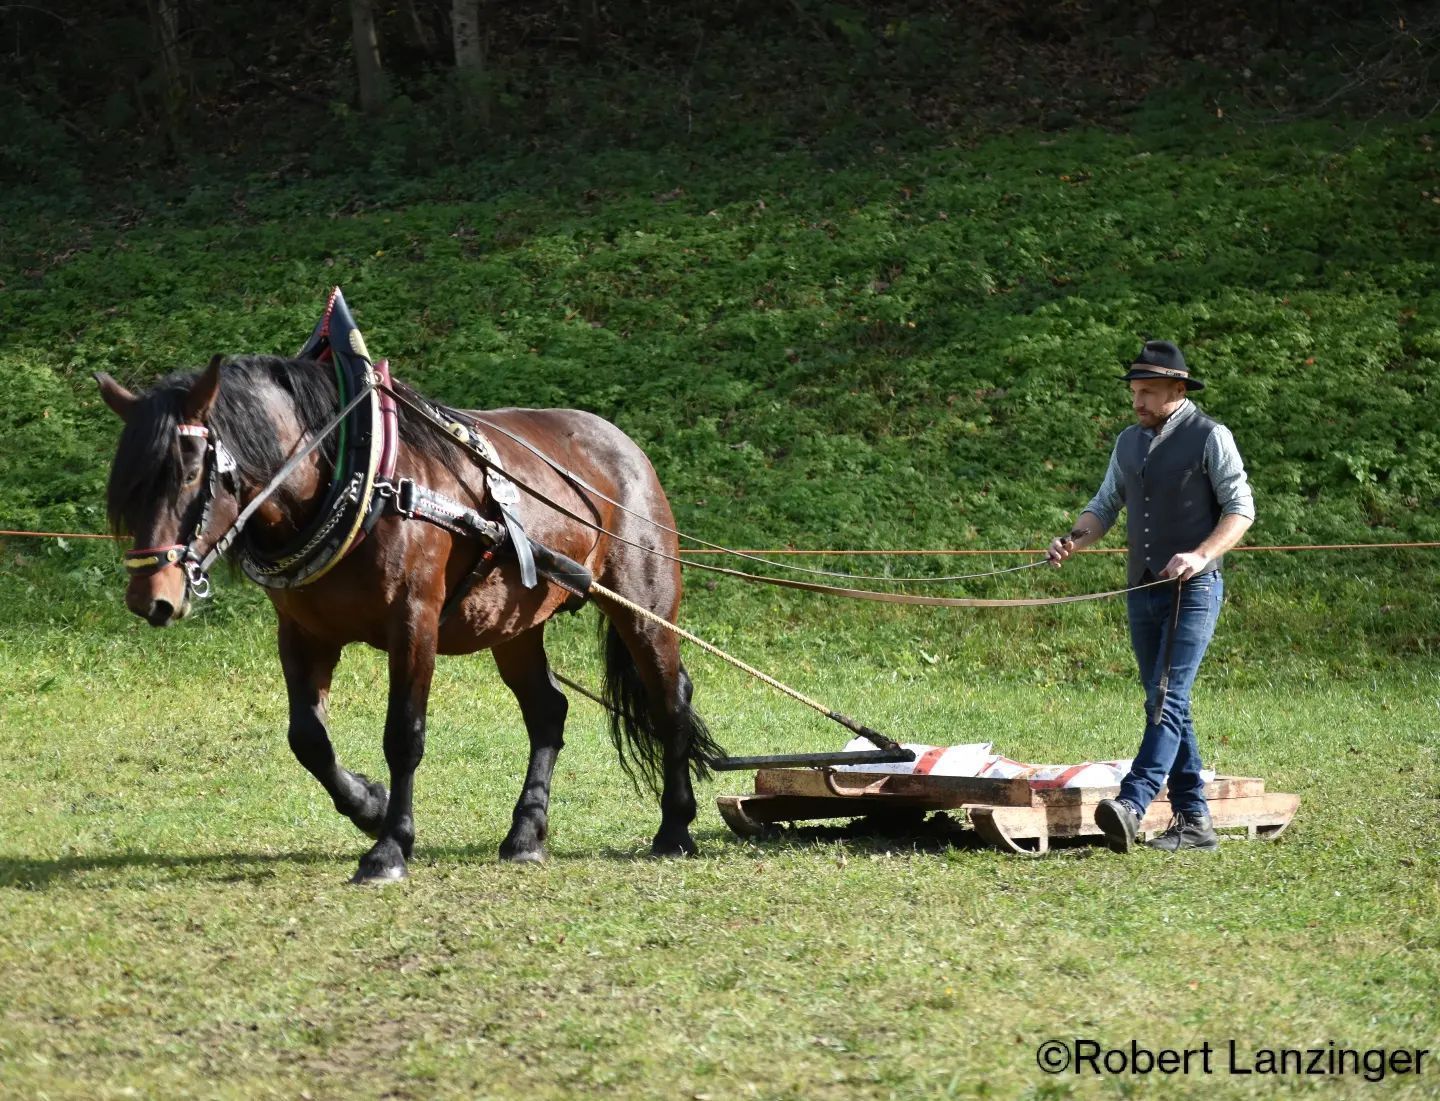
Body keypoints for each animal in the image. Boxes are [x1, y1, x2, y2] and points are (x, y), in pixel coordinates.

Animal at [95, 354, 720, 886]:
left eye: (189, 474)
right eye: (130, 487)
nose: (150, 597)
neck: (359, 482)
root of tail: (622, 444)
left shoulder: (413, 622)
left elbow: (404, 736)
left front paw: (390, 846)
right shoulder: (302, 633)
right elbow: (308, 739)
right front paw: (369, 806)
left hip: (643, 608)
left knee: (670, 702)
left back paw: (674, 828)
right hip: (515, 625)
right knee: (548, 712)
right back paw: (525, 833)